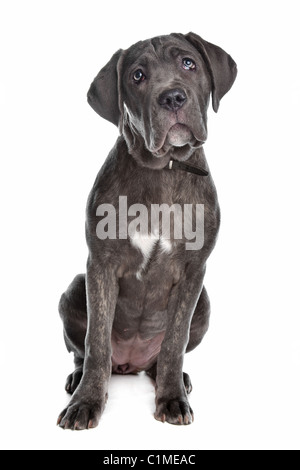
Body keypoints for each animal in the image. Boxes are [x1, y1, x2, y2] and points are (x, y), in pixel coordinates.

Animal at [56, 32, 237, 430]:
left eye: (188, 63)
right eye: (137, 75)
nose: (172, 97)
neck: (164, 168)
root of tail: (130, 363)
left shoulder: (193, 271)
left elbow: (174, 343)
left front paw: (172, 398)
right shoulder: (100, 265)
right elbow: (96, 342)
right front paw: (85, 402)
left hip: (204, 302)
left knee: (163, 357)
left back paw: (177, 380)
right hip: (75, 288)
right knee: (85, 352)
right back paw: (78, 378)